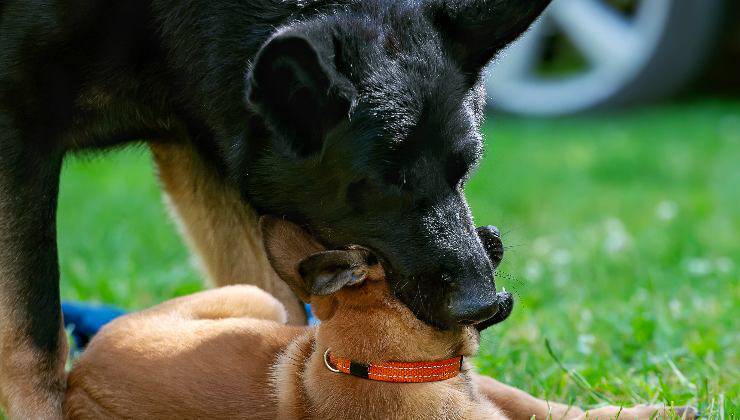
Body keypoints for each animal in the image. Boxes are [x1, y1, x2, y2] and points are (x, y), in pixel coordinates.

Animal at [0, 1, 544, 416]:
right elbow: (33, 341)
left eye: (466, 167)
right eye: (381, 183)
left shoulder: (201, 144)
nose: (483, 302)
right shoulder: (18, 127)